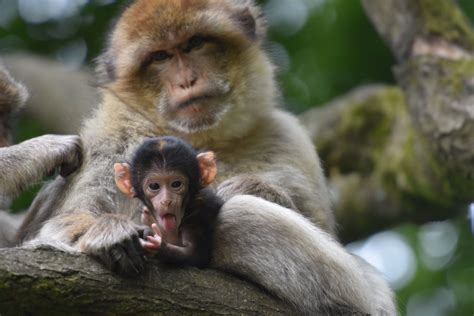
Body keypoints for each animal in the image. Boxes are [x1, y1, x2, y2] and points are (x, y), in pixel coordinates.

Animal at [114, 135, 221, 266]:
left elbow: (194, 254)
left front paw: (157, 245)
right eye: (154, 186)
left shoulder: (200, 211)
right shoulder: (145, 215)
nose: (166, 200)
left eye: (176, 184)